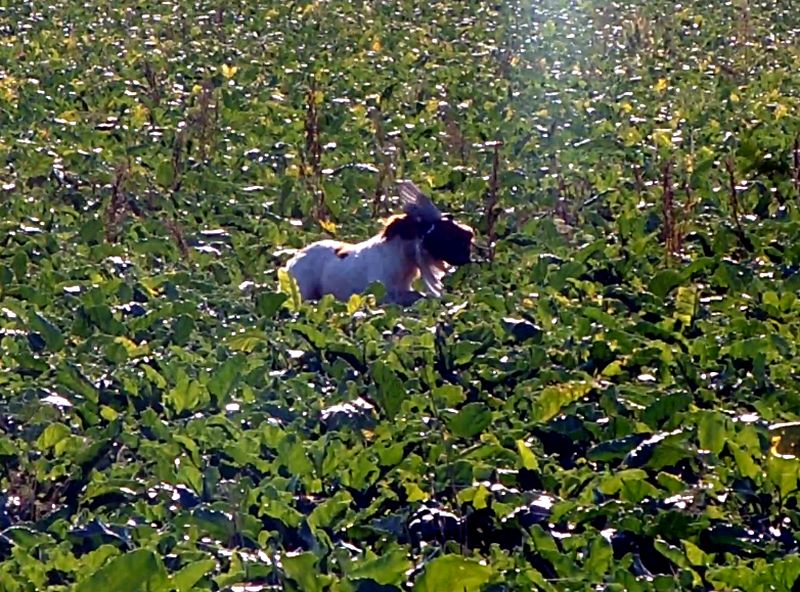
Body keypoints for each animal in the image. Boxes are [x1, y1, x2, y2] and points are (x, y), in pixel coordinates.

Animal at [284, 181, 474, 305]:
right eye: (447, 233)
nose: (470, 235)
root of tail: (292, 260)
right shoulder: (383, 295)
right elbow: (417, 296)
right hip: (304, 294)